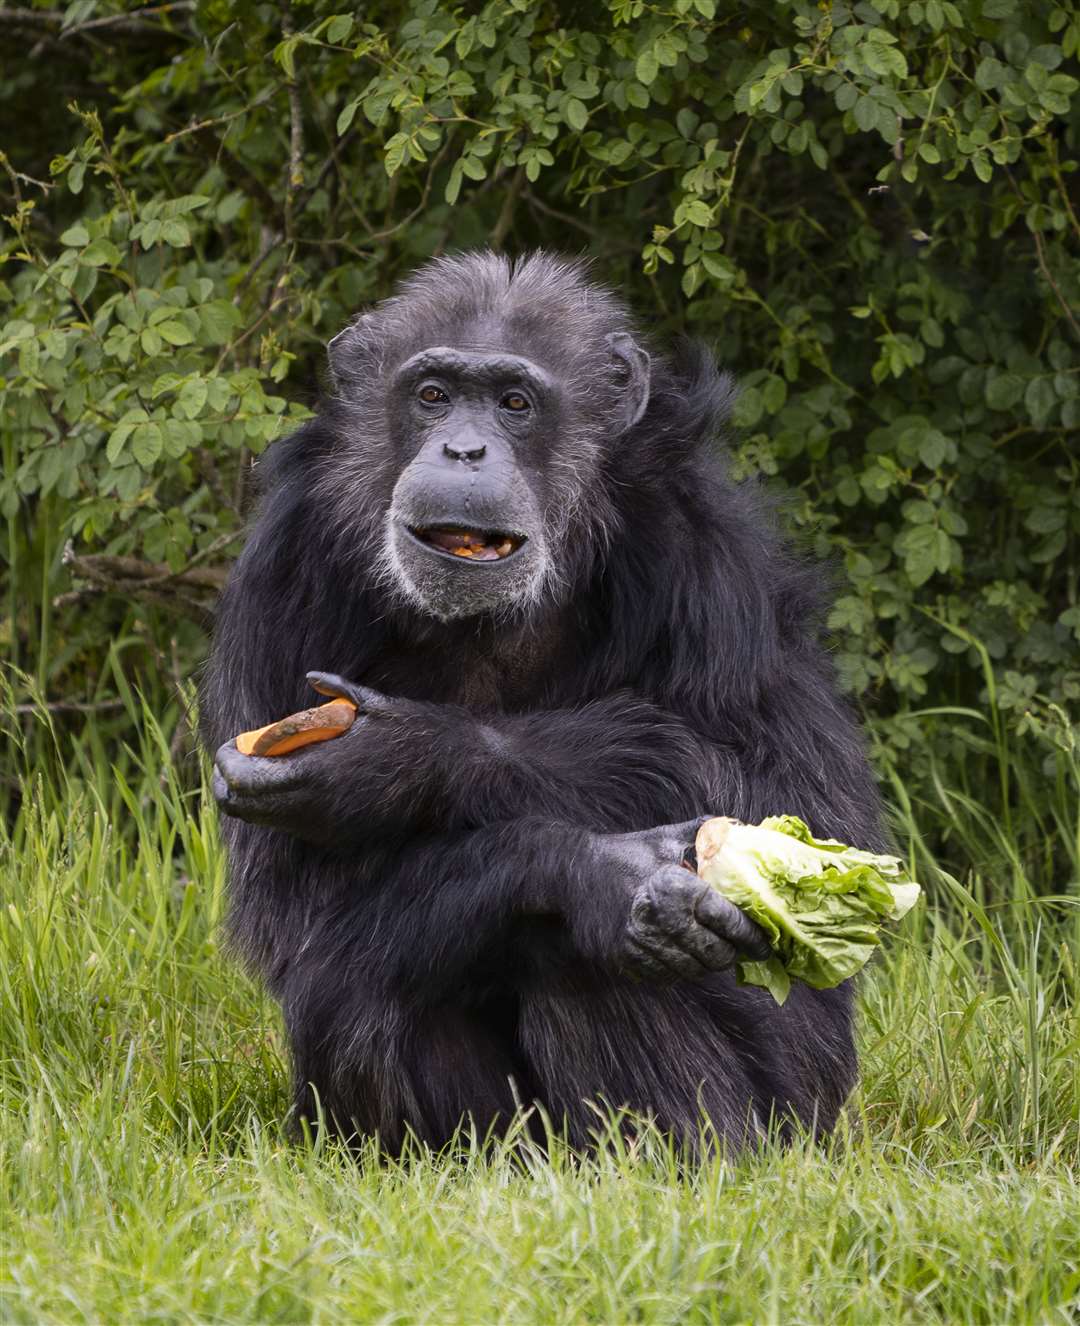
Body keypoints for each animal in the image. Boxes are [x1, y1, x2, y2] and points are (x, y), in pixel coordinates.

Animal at [200, 253, 880, 1156]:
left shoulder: (706, 550)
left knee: (597, 957)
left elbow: (794, 797)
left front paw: (397, 760)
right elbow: (292, 903)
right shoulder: (289, 564)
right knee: (370, 976)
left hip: (803, 1114)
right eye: (433, 394)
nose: (463, 447)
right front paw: (603, 876)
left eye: (515, 403)